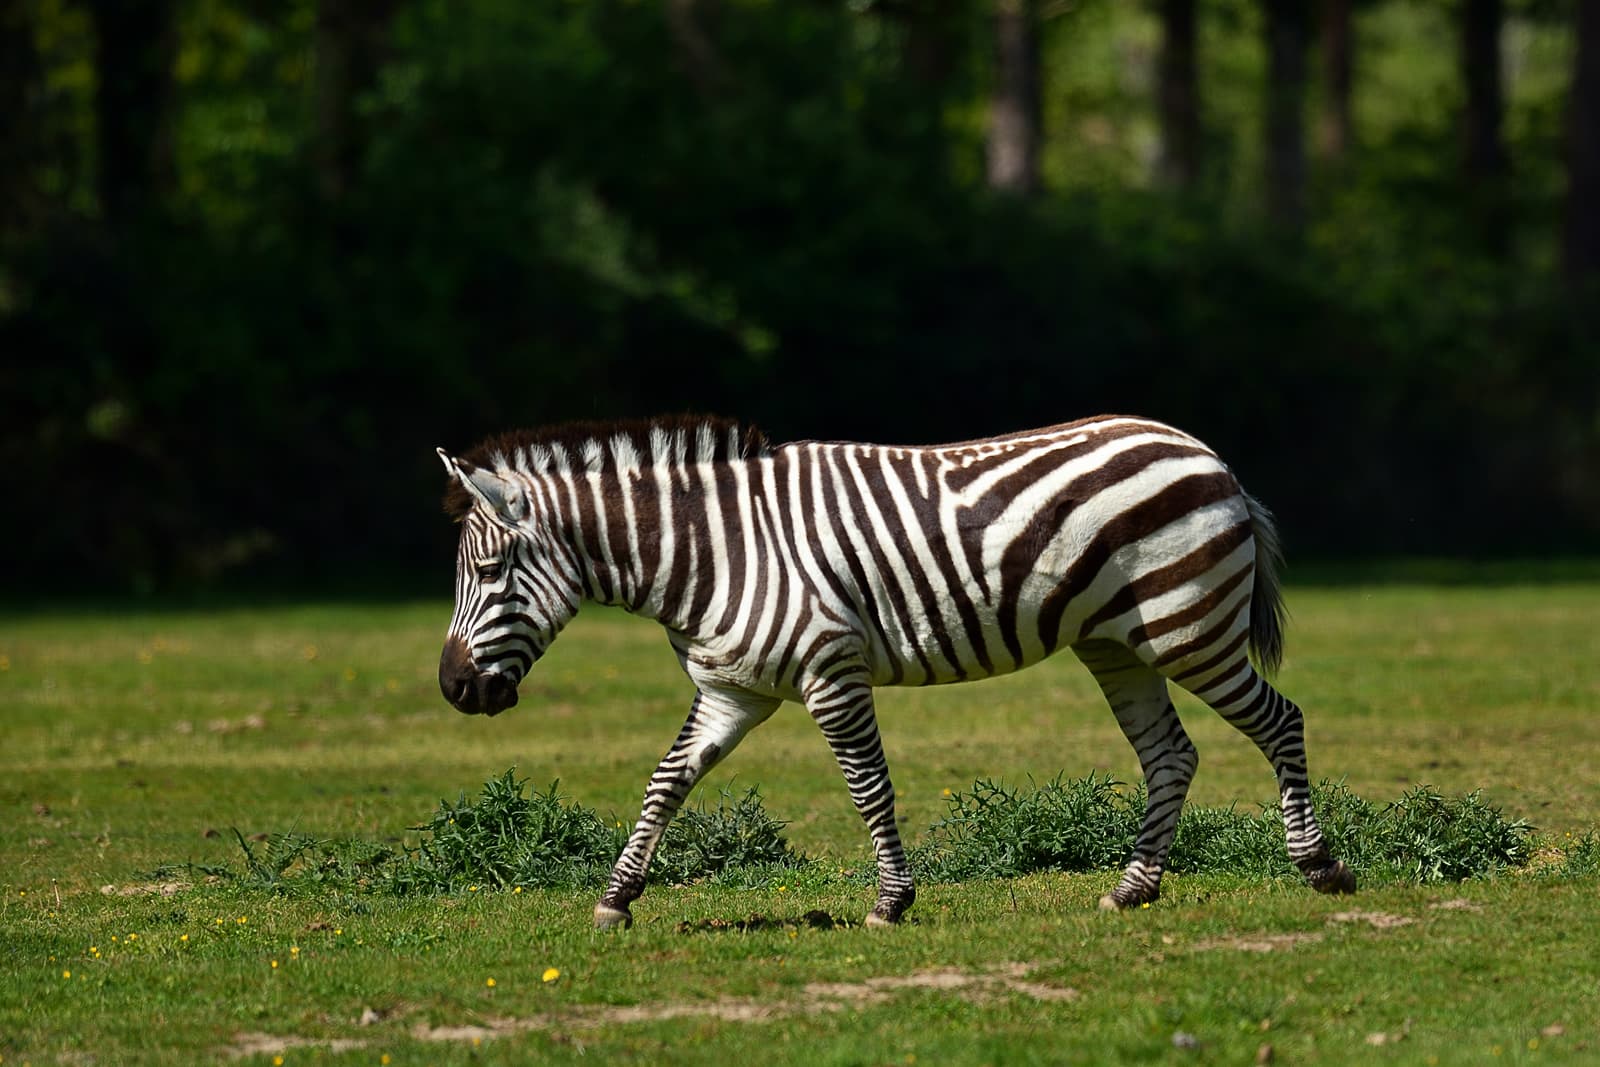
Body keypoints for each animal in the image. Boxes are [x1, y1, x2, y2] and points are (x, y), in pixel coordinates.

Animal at [436, 414, 1355, 929]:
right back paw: (1133, 889)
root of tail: (1205, 453)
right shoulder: (732, 690)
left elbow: (867, 786)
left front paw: (890, 901)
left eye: (488, 572)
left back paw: (1320, 867)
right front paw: (616, 897)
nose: (453, 689)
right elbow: (665, 782)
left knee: (1282, 720)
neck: (713, 551)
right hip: (1119, 645)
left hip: (1188, 627)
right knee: (1171, 754)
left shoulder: (830, 670)